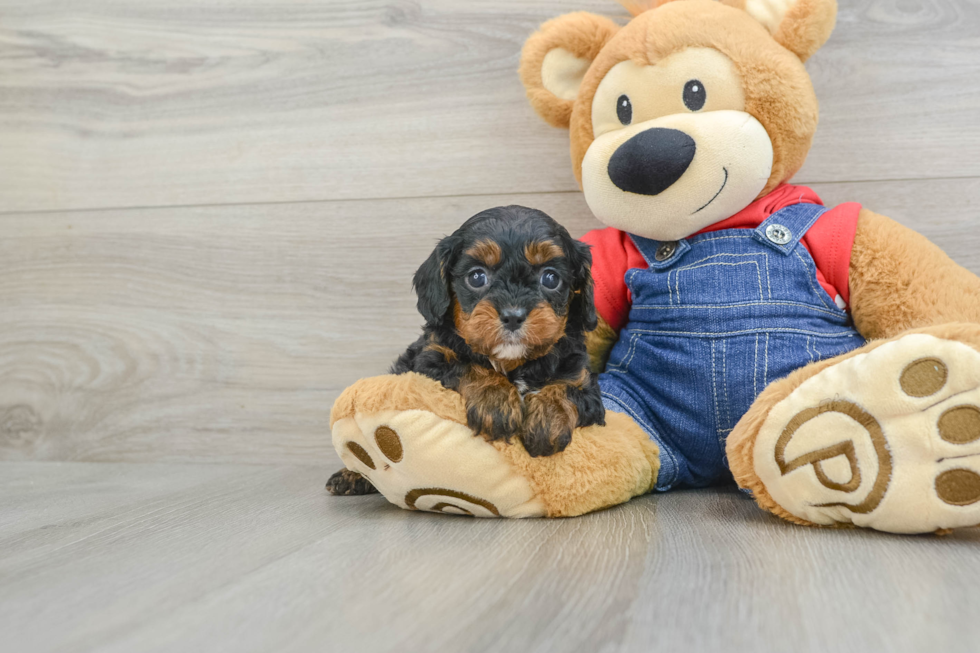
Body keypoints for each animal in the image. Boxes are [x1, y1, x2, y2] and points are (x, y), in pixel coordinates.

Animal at [328, 206, 604, 496]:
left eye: (550, 278)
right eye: (476, 277)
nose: (513, 316)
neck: (513, 362)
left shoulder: (584, 380)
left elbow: (567, 387)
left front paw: (548, 420)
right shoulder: (432, 359)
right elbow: (468, 365)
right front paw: (496, 402)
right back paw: (351, 476)